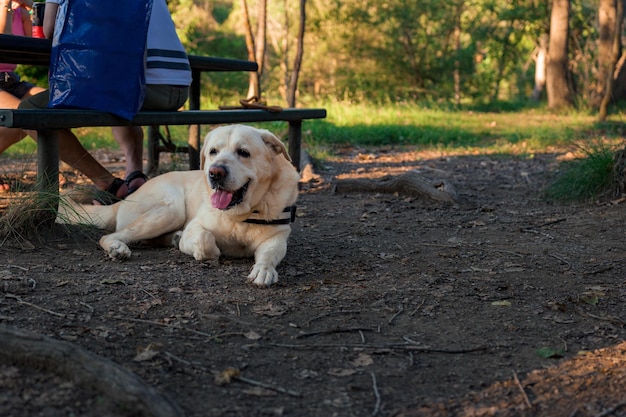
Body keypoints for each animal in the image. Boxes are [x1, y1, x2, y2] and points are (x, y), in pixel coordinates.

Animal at [58, 123, 300, 286]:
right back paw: (118, 248)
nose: (215, 172)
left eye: (244, 152)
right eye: (213, 152)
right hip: (172, 210)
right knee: (111, 236)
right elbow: (205, 242)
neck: (242, 213)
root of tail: (123, 199)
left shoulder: (277, 239)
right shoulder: (196, 227)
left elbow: (268, 256)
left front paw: (264, 270)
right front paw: (202, 249)